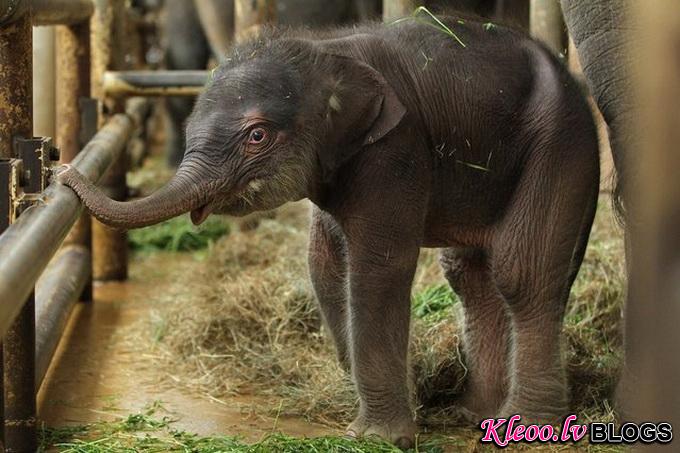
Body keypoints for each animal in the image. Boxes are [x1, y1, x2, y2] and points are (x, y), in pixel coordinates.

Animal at [61, 14, 596, 448]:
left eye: (257, 135)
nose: (63, 171)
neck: (328, 52)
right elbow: (324, 265)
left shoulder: (394, 150)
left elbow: (376, 270)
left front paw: (378, 438)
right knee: (470, 276)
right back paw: (473, 415)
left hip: (558, 146)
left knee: (521, 273)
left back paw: (528, 426)